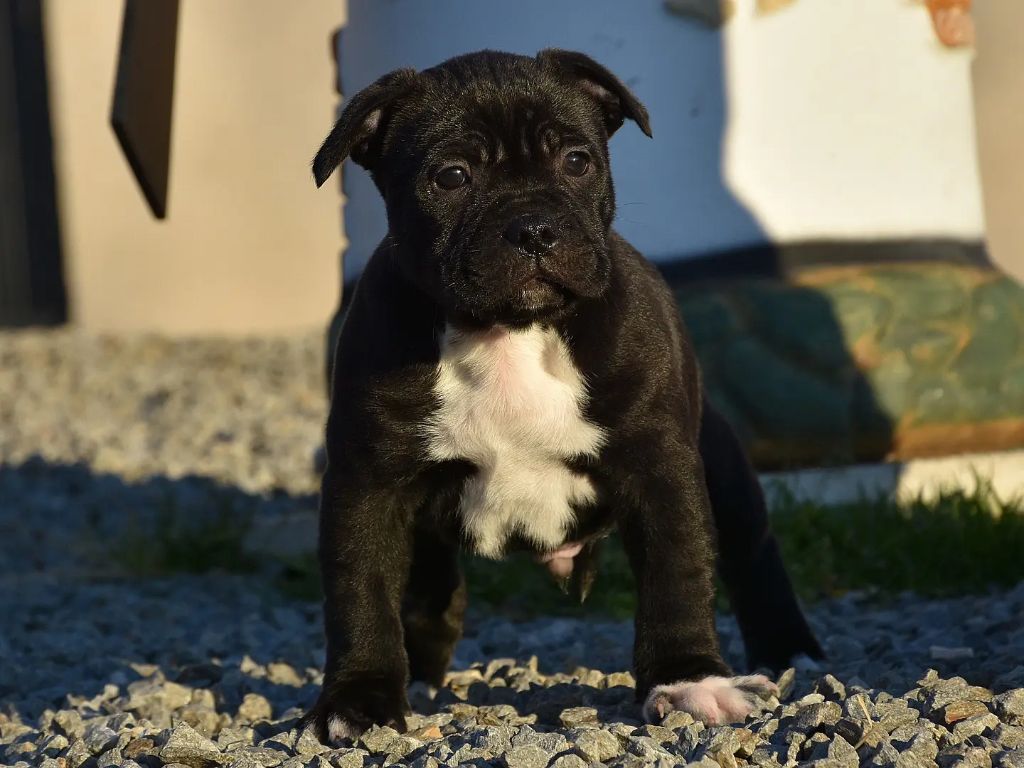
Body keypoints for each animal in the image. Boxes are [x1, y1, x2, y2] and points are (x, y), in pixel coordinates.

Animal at [299, 49, 819, 745]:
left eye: (577, 161)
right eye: (451, 176)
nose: (534, 228)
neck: (508, 332)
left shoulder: (661, 470)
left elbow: (678, 572)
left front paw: (688, 682)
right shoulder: (368, 484)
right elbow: (361, 591)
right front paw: (359, 700)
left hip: (723, 465)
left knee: (752, 552)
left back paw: (790, 653)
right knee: (430, 589)